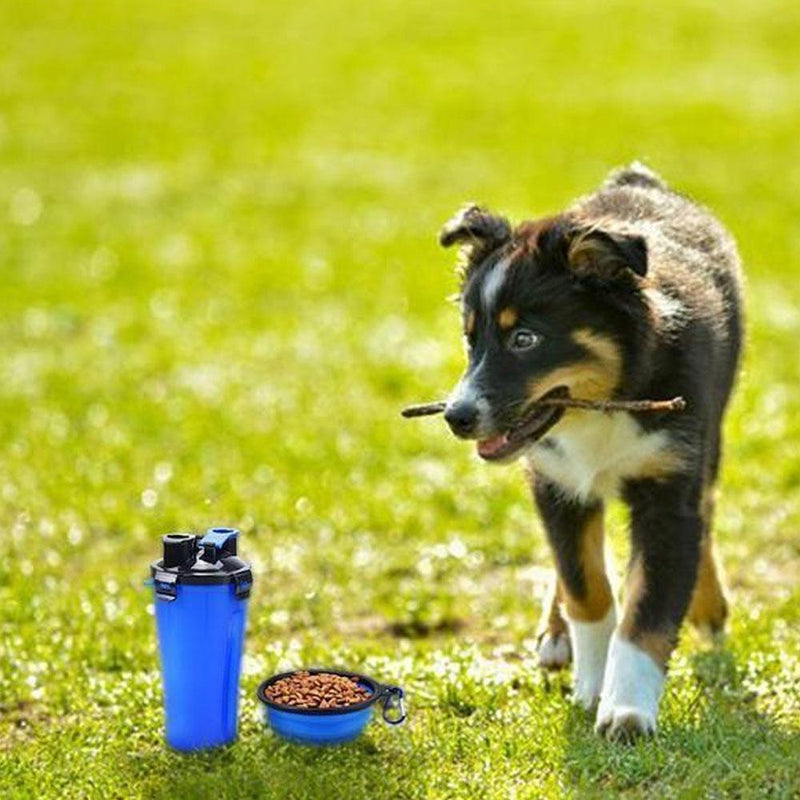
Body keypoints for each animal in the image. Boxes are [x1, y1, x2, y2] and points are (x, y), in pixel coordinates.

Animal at [440, 161, 740, 736]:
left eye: (525, 339)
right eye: (471, 338)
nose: (456, 417)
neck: (608, 403)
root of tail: (637, 180)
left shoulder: (670, 489)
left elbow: (647, 609)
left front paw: (626, 711)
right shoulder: (556, 482)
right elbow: (587, 587)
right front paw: (592, 684)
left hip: (712, 433)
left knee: (710, 510)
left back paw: (708, 604)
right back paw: (557, 635)